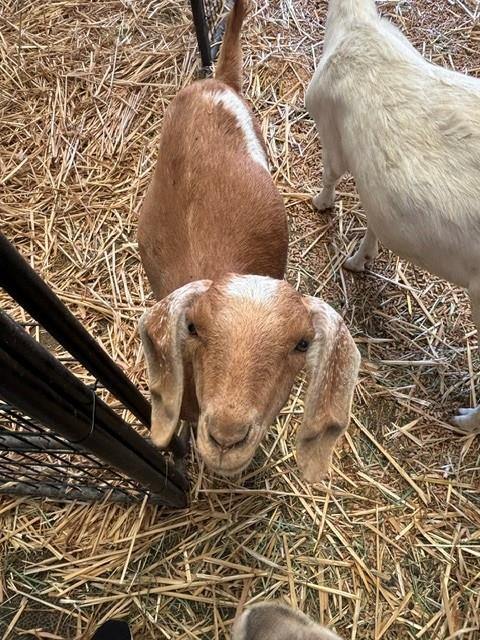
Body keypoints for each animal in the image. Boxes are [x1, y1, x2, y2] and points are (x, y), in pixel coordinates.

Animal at [305, 0, 480, 433]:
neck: (357, 26)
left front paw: (319, 203)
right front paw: (360, 260)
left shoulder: (329, 129)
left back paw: (465, 420)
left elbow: (331, 174)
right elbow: (374, 220)